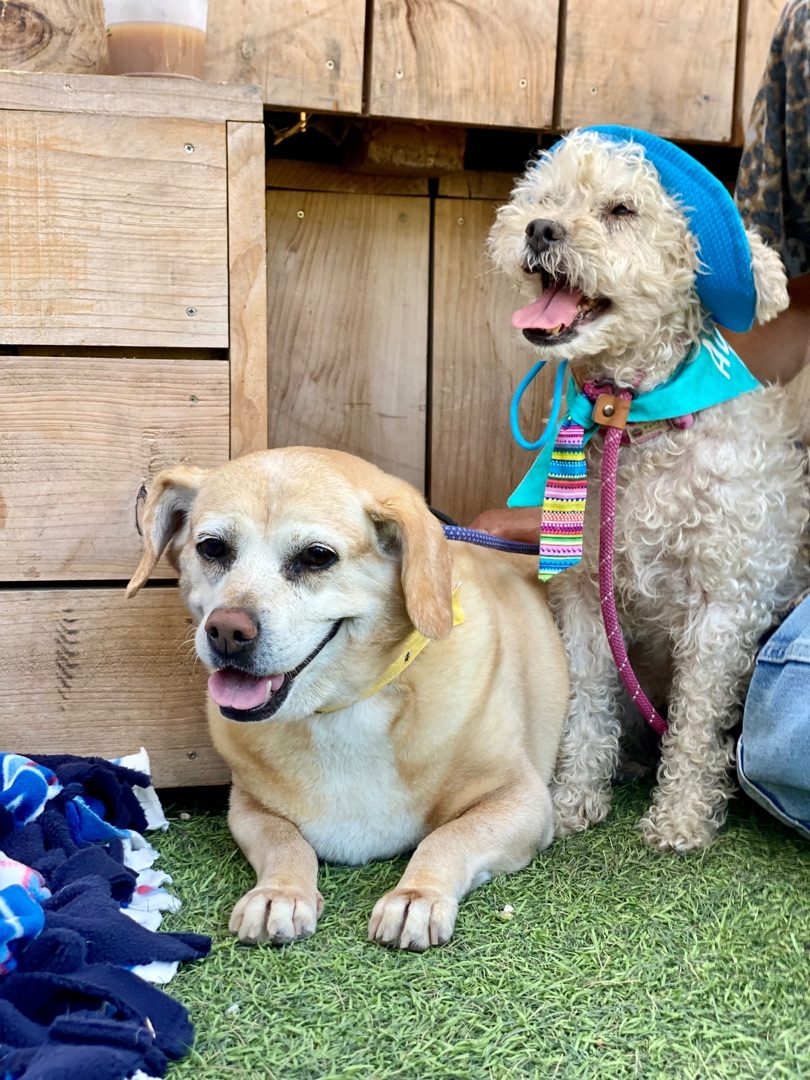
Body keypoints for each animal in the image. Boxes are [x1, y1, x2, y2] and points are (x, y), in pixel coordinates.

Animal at [127, 448, 569, 951]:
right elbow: (284, 840)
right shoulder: (247, 807)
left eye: (317, 557)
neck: (340, 709)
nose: (226, 631)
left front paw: (417, 895)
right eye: (212, 548)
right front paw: (280, 891)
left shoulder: (521, 799)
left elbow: (449, 837)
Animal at [484, 128, 809, 853]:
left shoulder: (724, 602)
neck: (630, 419)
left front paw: (682, 817)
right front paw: (573, 799)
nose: (540, 229)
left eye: (622, 210)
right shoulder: (583, 597)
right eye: (543, 198)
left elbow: (695, 721)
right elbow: (586, 704)